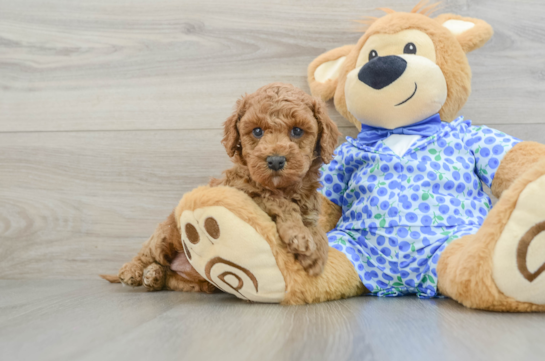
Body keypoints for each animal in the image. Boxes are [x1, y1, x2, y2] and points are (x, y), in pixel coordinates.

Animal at [101, 83, 338, 292]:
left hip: (194, 281)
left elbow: (318, 230)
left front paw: (317, 255)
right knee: (148, 252)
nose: (276, 161)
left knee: (169, 275)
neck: (285, 188)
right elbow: (278, 201)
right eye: (257, 131)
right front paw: (300, 237)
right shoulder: (242, 190)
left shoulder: (309, 210)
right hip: (166, 234)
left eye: (297, 131)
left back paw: (155, 277)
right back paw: (132, 271)